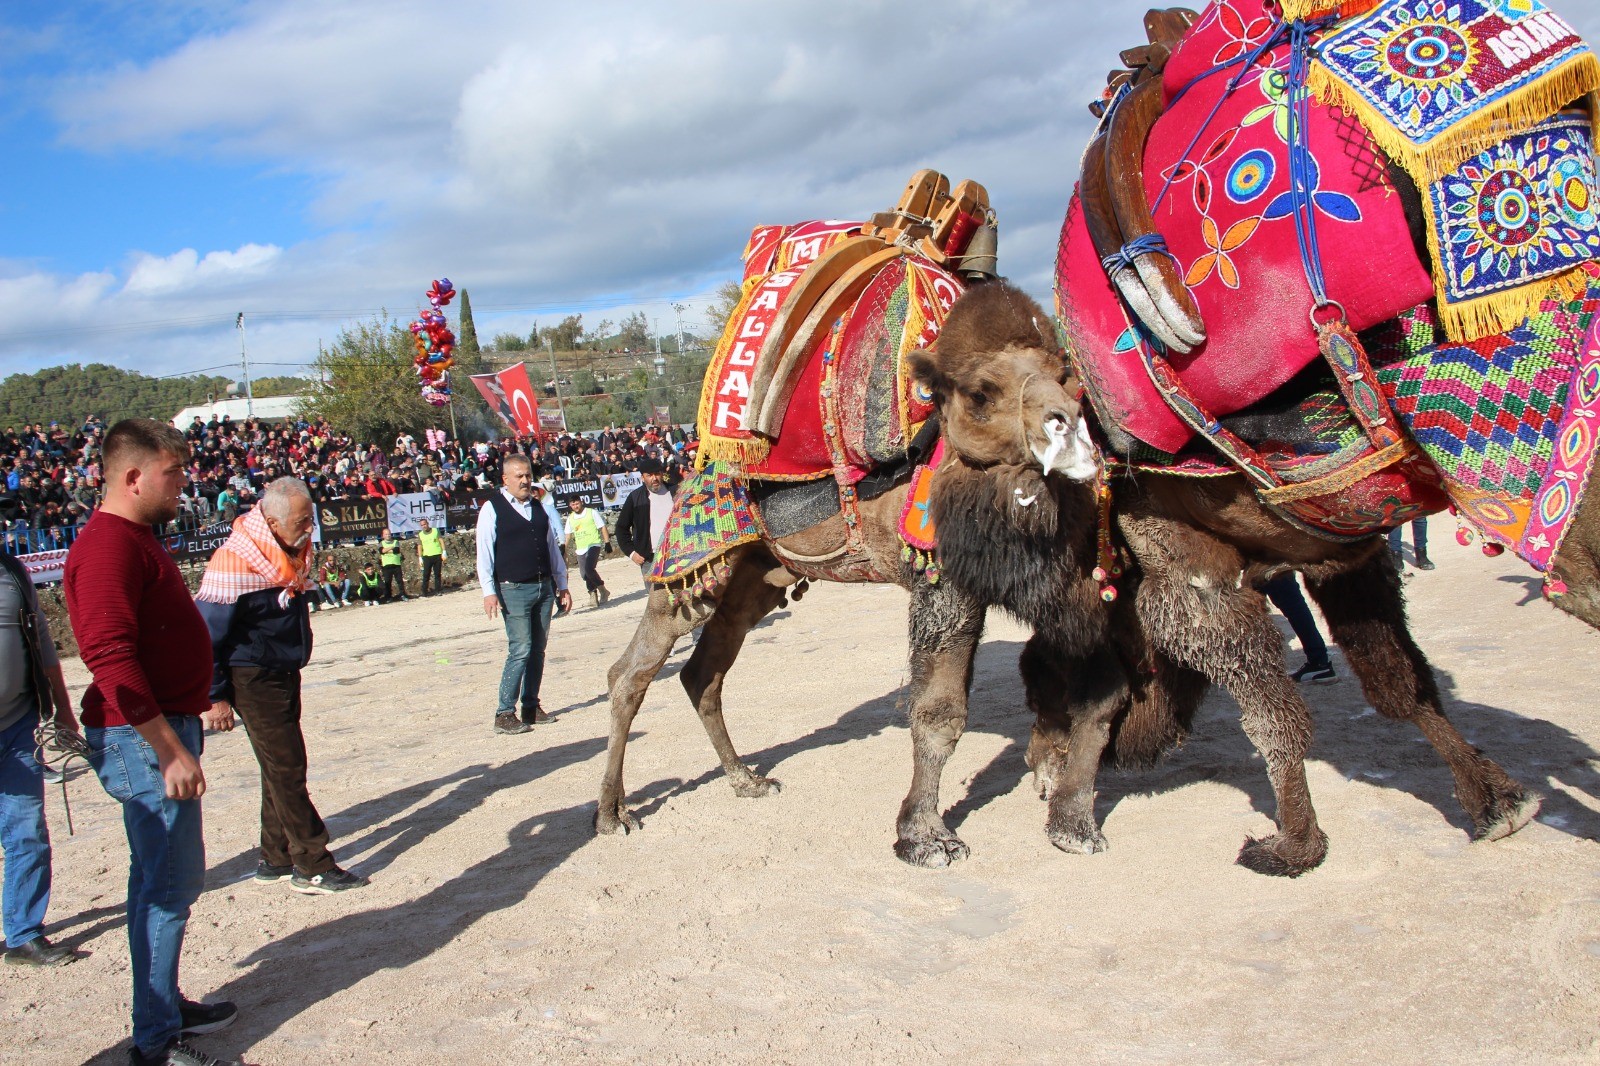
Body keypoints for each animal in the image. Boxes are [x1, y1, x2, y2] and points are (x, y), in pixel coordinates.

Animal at [908, 280, 1542, 870]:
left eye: (1066, 377)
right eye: (979, 393)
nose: (1062, 431)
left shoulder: (1348, 561)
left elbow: (1401, 685)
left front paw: (1500, 804)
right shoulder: (1191, 576)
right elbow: (1275, 714)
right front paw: (1294, 846)